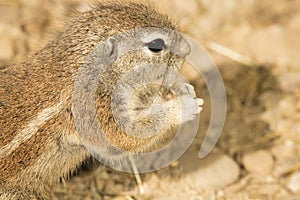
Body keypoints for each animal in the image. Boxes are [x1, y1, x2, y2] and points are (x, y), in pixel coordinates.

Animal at [0, 1, 202, 198]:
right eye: (156, 45)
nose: (187, 48)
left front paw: (179, 89)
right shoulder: (93, 106)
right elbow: (124, 136)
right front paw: (182, 106)